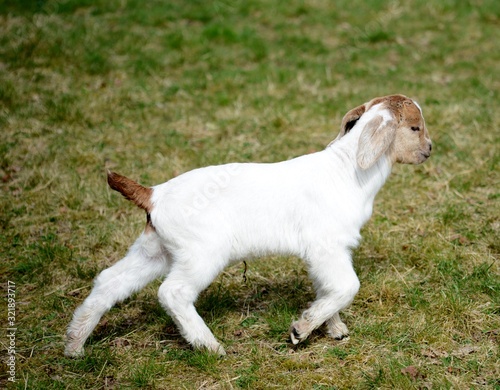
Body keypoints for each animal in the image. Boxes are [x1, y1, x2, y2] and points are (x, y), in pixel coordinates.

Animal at [66, 94, 432, 356]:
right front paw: (301, 330)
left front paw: (333, 329)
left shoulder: (322, 253)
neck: (349, 170)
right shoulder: (327, 245)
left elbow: (327, 289)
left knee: (109, 281)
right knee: (173, 293)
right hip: (202, 253)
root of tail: (154, 194)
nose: (429, 149)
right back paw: (209, 346)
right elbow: (346, 287)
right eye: (415, 128)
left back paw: (74, 345)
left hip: (154, 251)